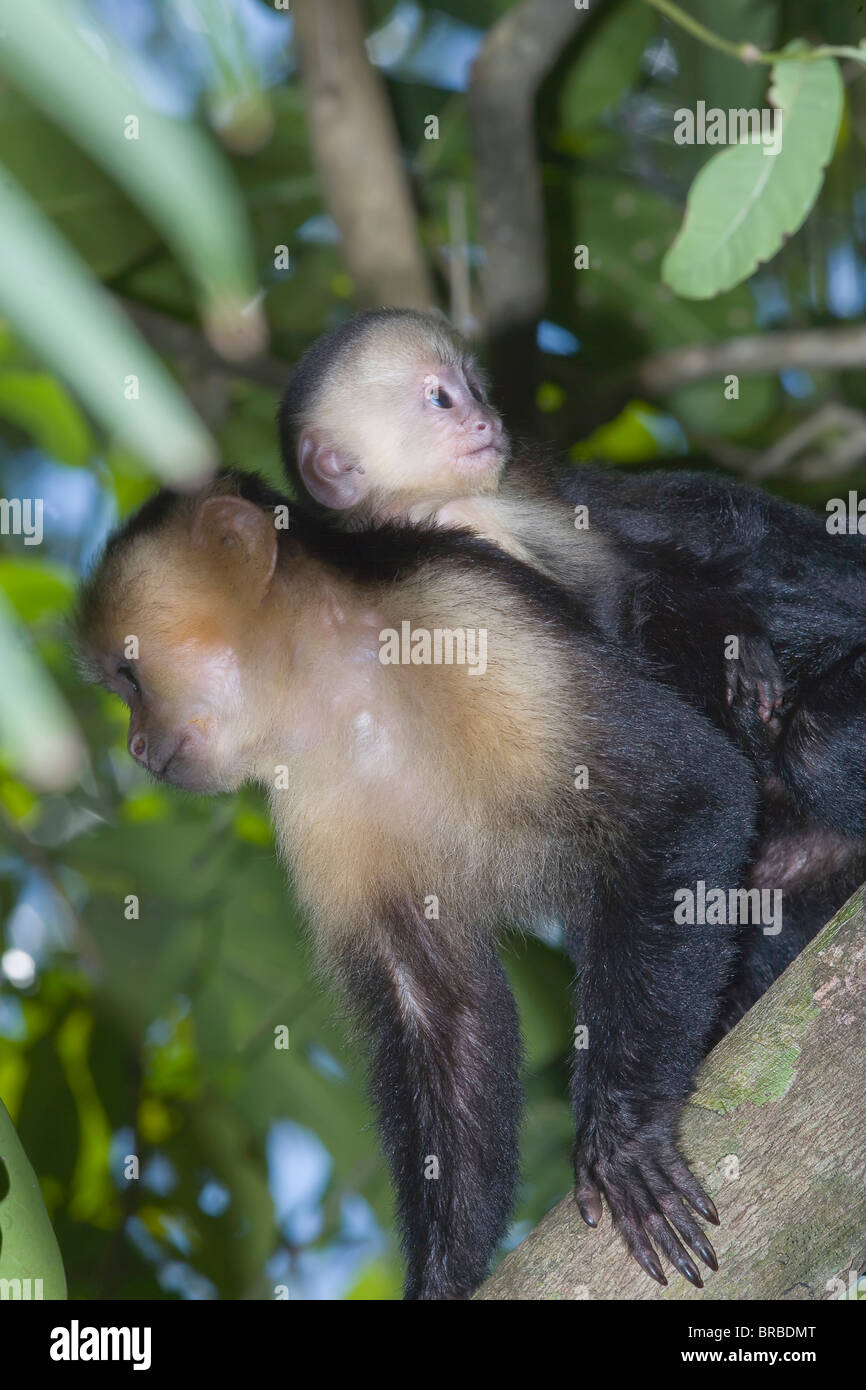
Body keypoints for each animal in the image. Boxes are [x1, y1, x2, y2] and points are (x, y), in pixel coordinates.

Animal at [76, 468, 791, 1298]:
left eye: (130, 678)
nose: (134, 746)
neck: (337, 681)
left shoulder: (462, 616)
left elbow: (690, 796)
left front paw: (622, 1139)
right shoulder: (310, 798)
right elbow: (441, 1006)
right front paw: (444, 1278)